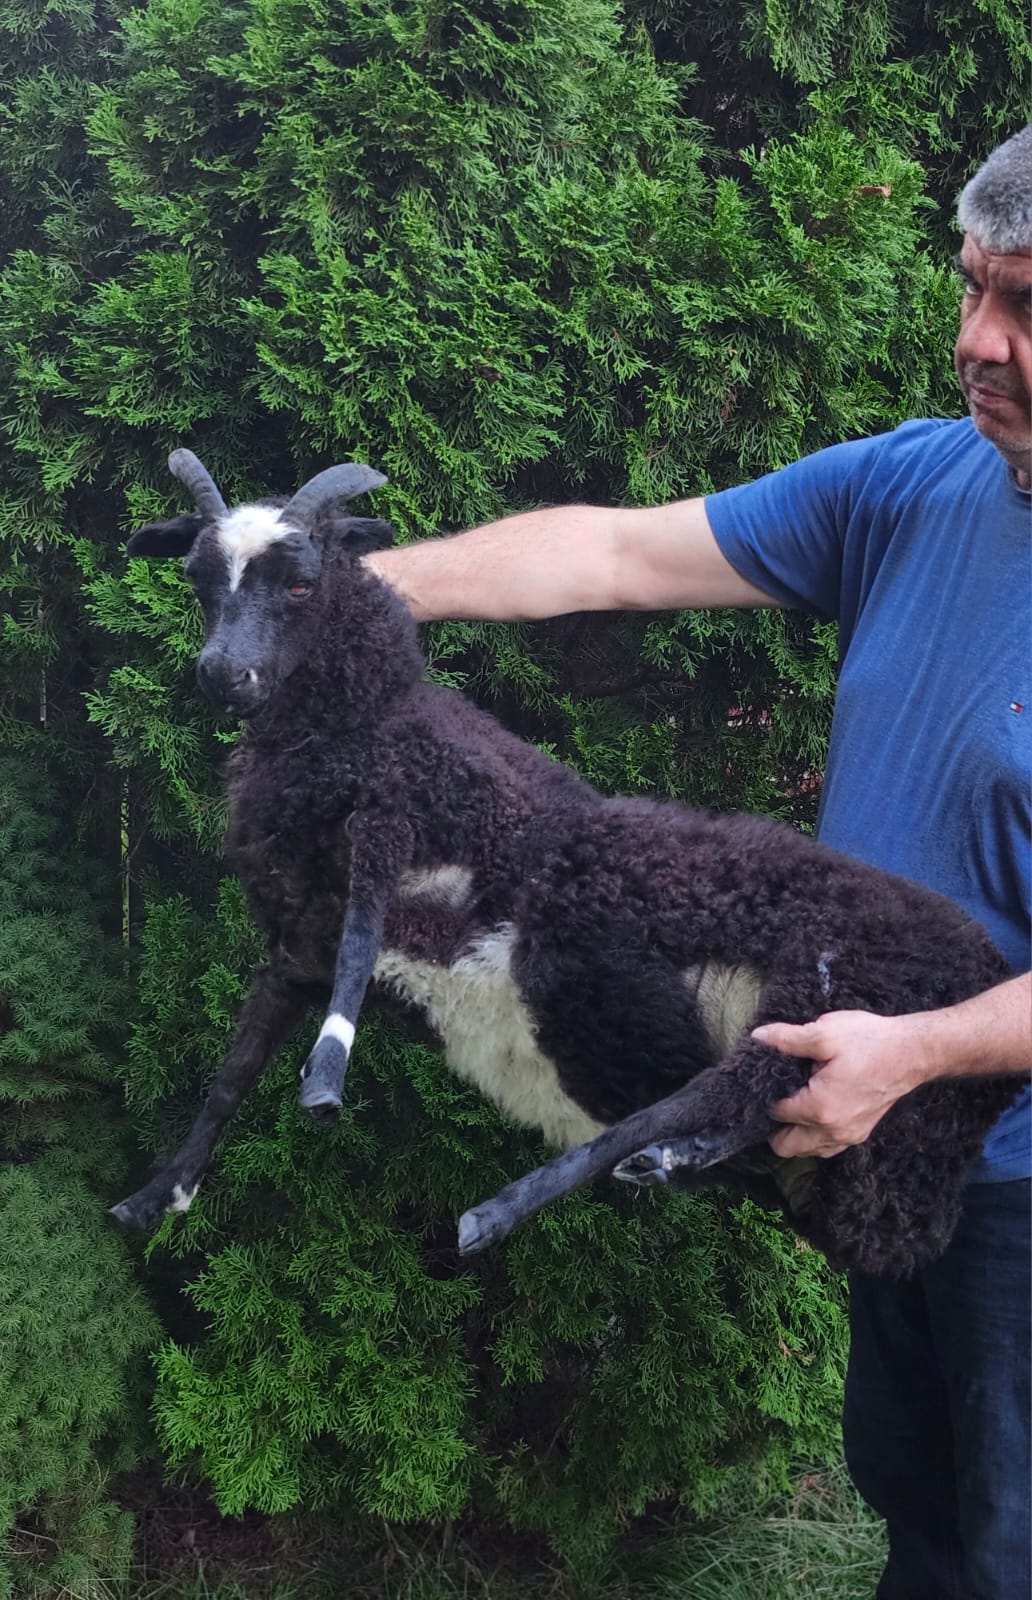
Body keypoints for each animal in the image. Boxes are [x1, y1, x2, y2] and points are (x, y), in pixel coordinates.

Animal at [111, 448, 1022, 1278]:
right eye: (198, 578)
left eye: (301, 584)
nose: (224, 675)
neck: (366, 720)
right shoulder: (298, 943)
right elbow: (233, 1072)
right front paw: (156, 1197)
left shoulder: (398, 814)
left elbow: (358, 949)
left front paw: (327, 1072)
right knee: (748, 1110)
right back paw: (671, 1159)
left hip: (824, 998)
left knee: (718, 1089)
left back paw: (501, 1210)